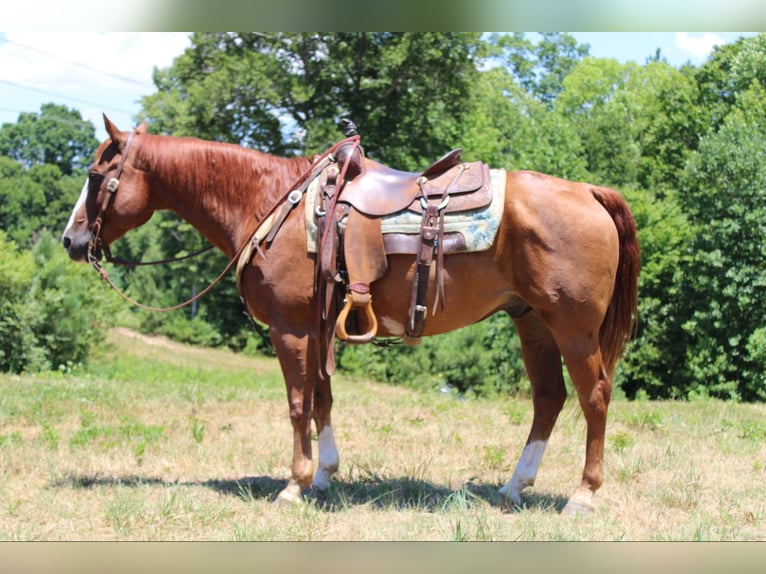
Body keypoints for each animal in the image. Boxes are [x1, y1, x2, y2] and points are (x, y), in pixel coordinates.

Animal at [61, 117, 640, 516]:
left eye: (94, 175)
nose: (70, 239)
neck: (271, 204)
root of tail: (590, 192)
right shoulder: (317, 327)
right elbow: (322, 398)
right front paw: (324, 476)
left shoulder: (290, 327)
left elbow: (298, 403)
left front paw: (294, 485)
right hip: (532, 321)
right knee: (549, 398)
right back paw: (514, 486)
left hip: (573, 327)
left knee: (593, 397)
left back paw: (583, 496)